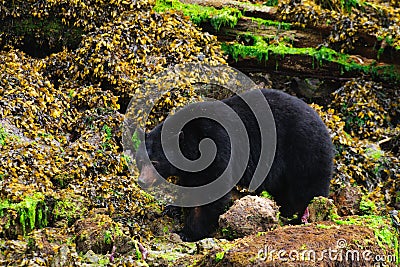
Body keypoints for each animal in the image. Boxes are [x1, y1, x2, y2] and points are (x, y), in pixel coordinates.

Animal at [135, 89, 334, 242]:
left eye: (155, 162)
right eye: (140, 161)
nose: (142, 181)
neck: (193, 144)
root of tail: (322, 123)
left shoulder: (217, 148)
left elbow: (213, 192)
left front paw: (188, 232)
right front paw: (173, 208)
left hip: (304, 152)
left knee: (306, 191)